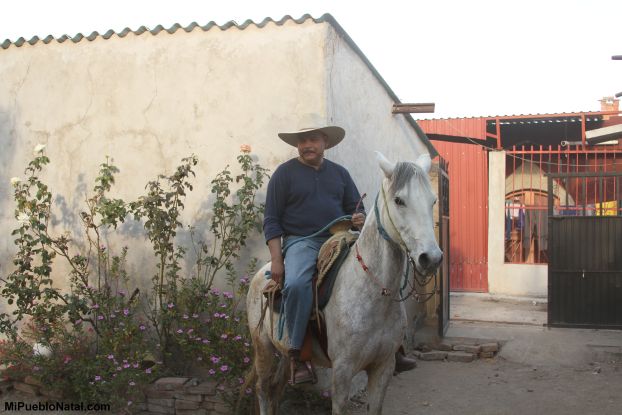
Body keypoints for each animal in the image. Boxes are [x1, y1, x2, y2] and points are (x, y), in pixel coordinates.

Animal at [245, 153, 444, 415]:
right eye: (399, 200)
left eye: (433, 201)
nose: (431, 258)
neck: (373, 293)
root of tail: (262, 274)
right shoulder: (342, 372)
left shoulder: (383, 368)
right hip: (263, 348)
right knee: (263, 389)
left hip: (284, 351)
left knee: (276, 389)